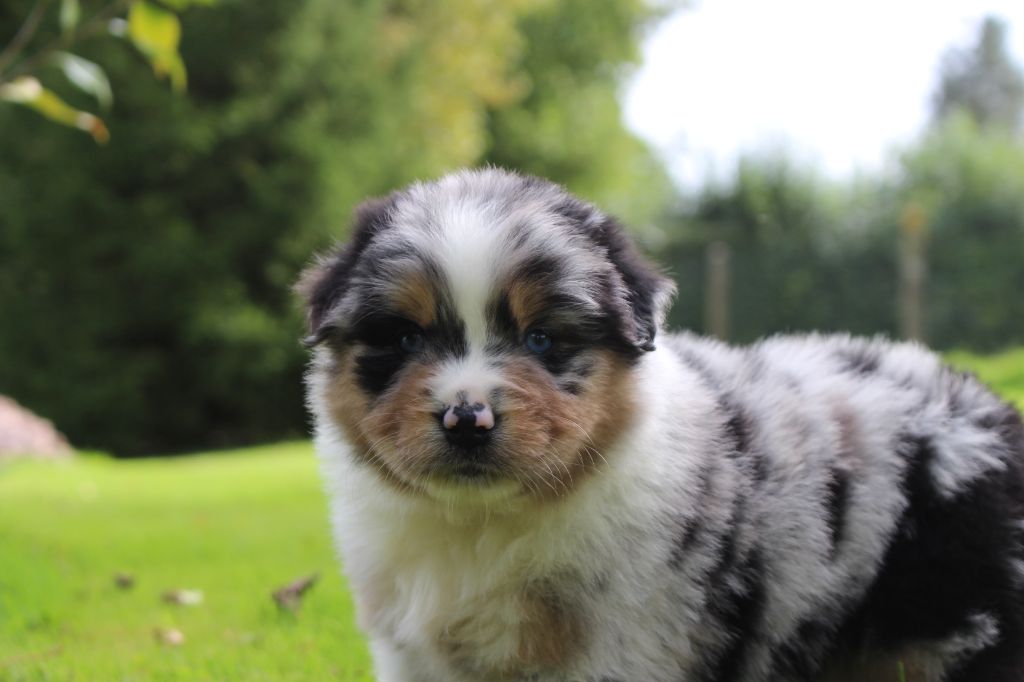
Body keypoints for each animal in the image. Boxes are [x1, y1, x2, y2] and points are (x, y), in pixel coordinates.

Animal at [299, 165, 1024, 679]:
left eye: (541, 339)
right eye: (404, 338)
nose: (467, 417)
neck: (482, 526)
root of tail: (983, 402)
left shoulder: (629, 641)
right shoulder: (413, 652)